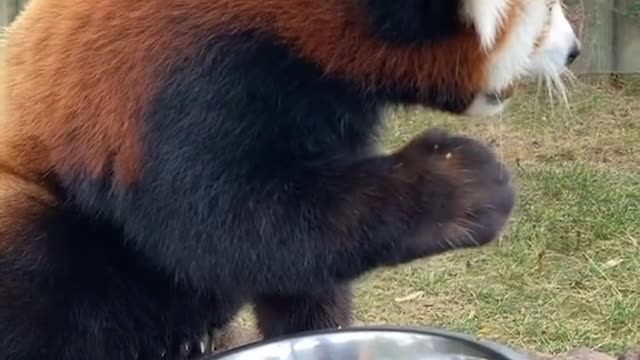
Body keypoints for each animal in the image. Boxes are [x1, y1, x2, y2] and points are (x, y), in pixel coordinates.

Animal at [0, 0, 580, 358]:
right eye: (547, 14)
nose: (574, 50)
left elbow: (307, 256)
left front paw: (322, 328)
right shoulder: (189, 72)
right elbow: (219, 227)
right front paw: (459, 184)